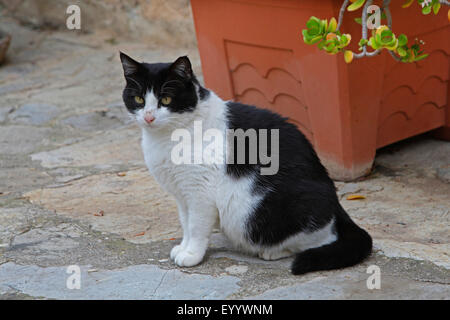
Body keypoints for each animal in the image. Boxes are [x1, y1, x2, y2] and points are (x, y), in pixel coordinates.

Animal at [119, 53, 372, 276]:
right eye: (139, 99)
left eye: (166, 99)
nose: (149, 117)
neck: (167, 137)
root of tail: (336, 202)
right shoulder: (182, 195)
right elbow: (186, 223)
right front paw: (183, 247)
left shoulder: (200, 193)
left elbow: (197, 227)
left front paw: (192, 254)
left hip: (257, 212)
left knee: (321, 239)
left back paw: (274, 252)